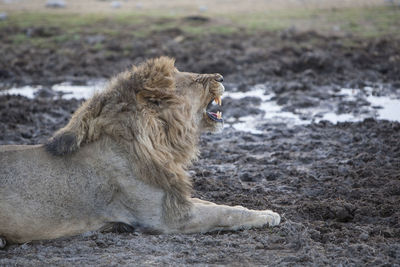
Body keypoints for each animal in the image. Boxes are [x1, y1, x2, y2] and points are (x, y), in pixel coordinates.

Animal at [0, 57, 282, 248]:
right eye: (194, 81)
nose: (221, 77)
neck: (161, 143)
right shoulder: (169, 218)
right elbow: (225, 213)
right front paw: (269, 216)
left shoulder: (174, 197)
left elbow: (216, 204)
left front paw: (259, 209)